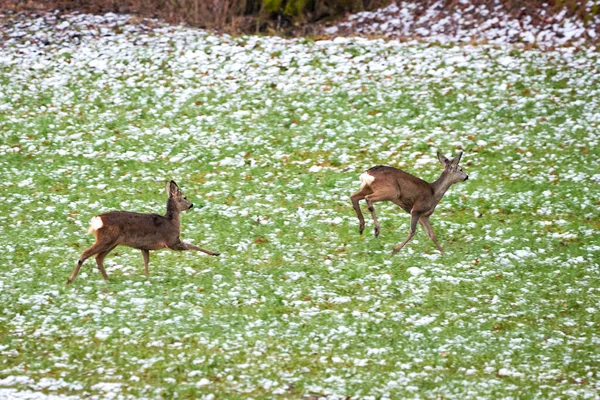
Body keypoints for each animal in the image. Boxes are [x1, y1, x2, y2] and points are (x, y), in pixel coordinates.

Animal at [67, 180, 220, 286]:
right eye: (184, 197)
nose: (191, 205)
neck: (171, 222)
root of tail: (97, 219)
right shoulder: (172, 241)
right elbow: (192, 245)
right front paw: (215, 253)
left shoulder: (144, 247)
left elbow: (146, 262)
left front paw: (147, 278)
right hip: (106, 239)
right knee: (85, 253)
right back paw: (70, 280)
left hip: (112, 242)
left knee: (98, 258)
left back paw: (107, 279)